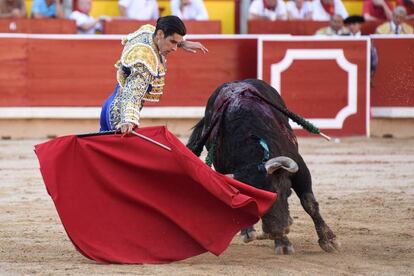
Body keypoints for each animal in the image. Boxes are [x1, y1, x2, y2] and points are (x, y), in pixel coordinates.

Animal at [188, 78, 340, 253]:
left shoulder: (300, 168)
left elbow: (309, 202)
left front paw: (329, 240)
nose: (277, 231)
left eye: (281, 192)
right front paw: (282, 243)